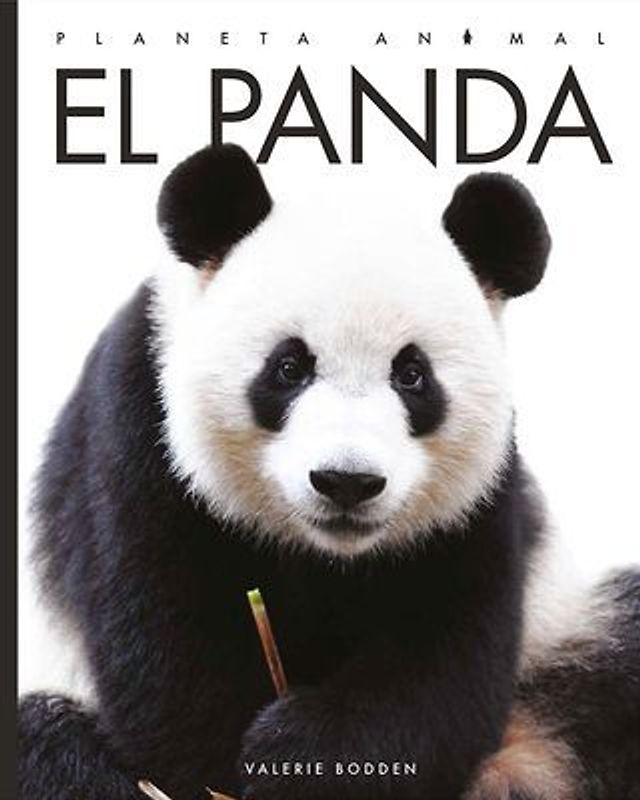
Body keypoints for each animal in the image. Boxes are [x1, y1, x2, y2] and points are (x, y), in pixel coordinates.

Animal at [19, 144, 640, 800]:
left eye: (411, 374)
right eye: (289, 367)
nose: (347, 482)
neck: (326, 555)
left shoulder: (478, 504)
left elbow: (444, 661)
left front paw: (303, 752)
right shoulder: (134, 439)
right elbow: (170, 674)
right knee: (46, 746)